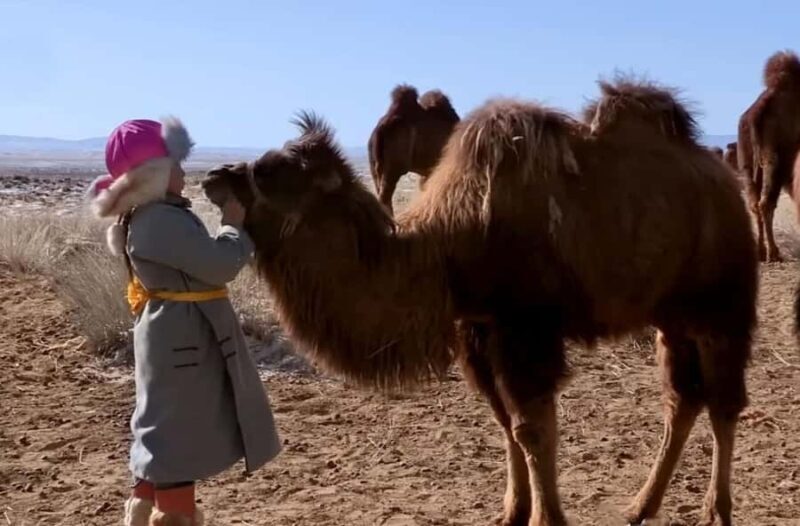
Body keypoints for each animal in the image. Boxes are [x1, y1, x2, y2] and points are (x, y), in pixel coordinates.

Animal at [738, 49, 800, 262]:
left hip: (747, 161)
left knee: (754, 203)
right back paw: (773, 253)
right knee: (766, 203)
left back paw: (760, 251)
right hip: (775, 160)